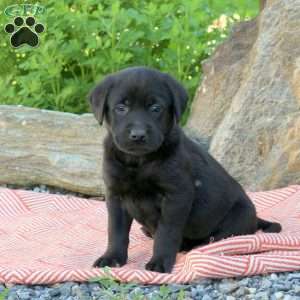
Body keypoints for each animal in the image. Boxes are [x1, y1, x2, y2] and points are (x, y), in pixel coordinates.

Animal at [89, 67, 282, 274]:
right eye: (121, 108)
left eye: (155, 108)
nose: (138, 135)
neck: (139, 162)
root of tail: (255, 218)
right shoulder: (115, 194)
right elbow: (116, 230)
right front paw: (112, 257)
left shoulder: (176, 196)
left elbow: (167, 232)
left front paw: (160, 261)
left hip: (237, 217)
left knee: (217, 237)